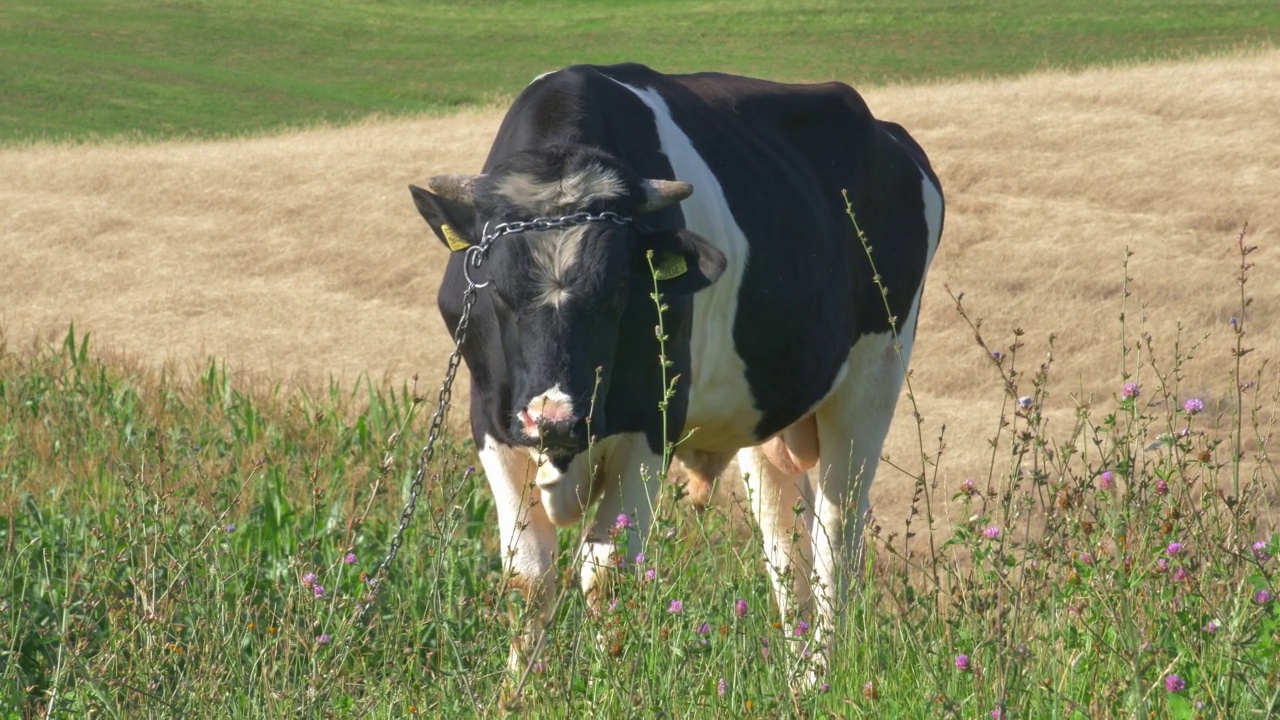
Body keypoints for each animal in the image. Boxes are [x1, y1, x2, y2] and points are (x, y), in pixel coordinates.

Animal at [409, 63, 942, 676]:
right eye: (495, 286)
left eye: (620, 288)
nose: (558, 421)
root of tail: (892, 140)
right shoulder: (491, 422)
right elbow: (528, 579)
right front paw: (518, 688)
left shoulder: (650, 424)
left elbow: (607, 578)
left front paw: (606, 685)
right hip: (764, 417)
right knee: (785, 545)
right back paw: (799, 678)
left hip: (876, 373)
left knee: (837, 533)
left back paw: (822, 677)